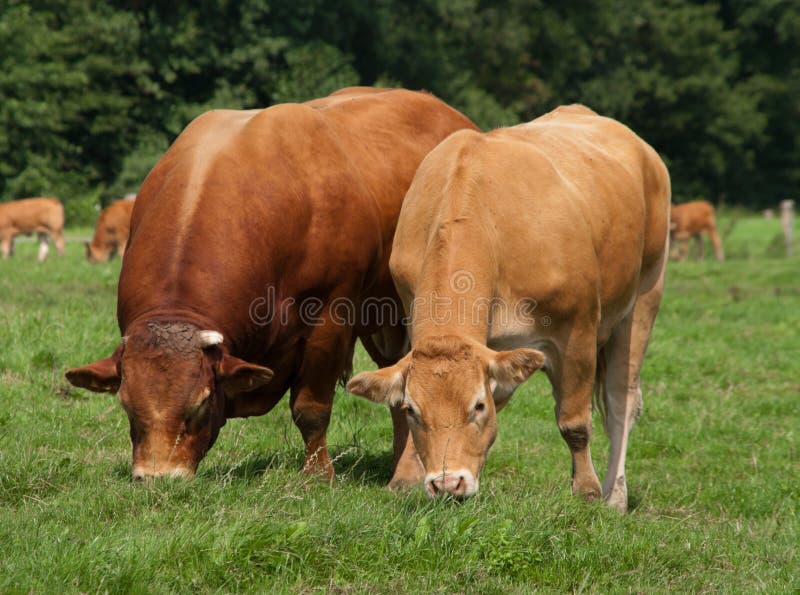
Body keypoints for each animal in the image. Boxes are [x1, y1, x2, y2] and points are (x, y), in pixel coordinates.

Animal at [65, 86, 478, 482]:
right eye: (126, 405)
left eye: (200, 404)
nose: (157, 478)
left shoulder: (330, 320)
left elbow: (310, 408)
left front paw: (318, 475)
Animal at [348, 103, 668, 512]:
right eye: (412, 410)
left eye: (477, 406)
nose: (448, 482)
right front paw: (405, 477)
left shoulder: (577, 332)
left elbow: (575, 422)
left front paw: (587, 490)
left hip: (643, 298)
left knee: (620, 402)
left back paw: (616, 494)